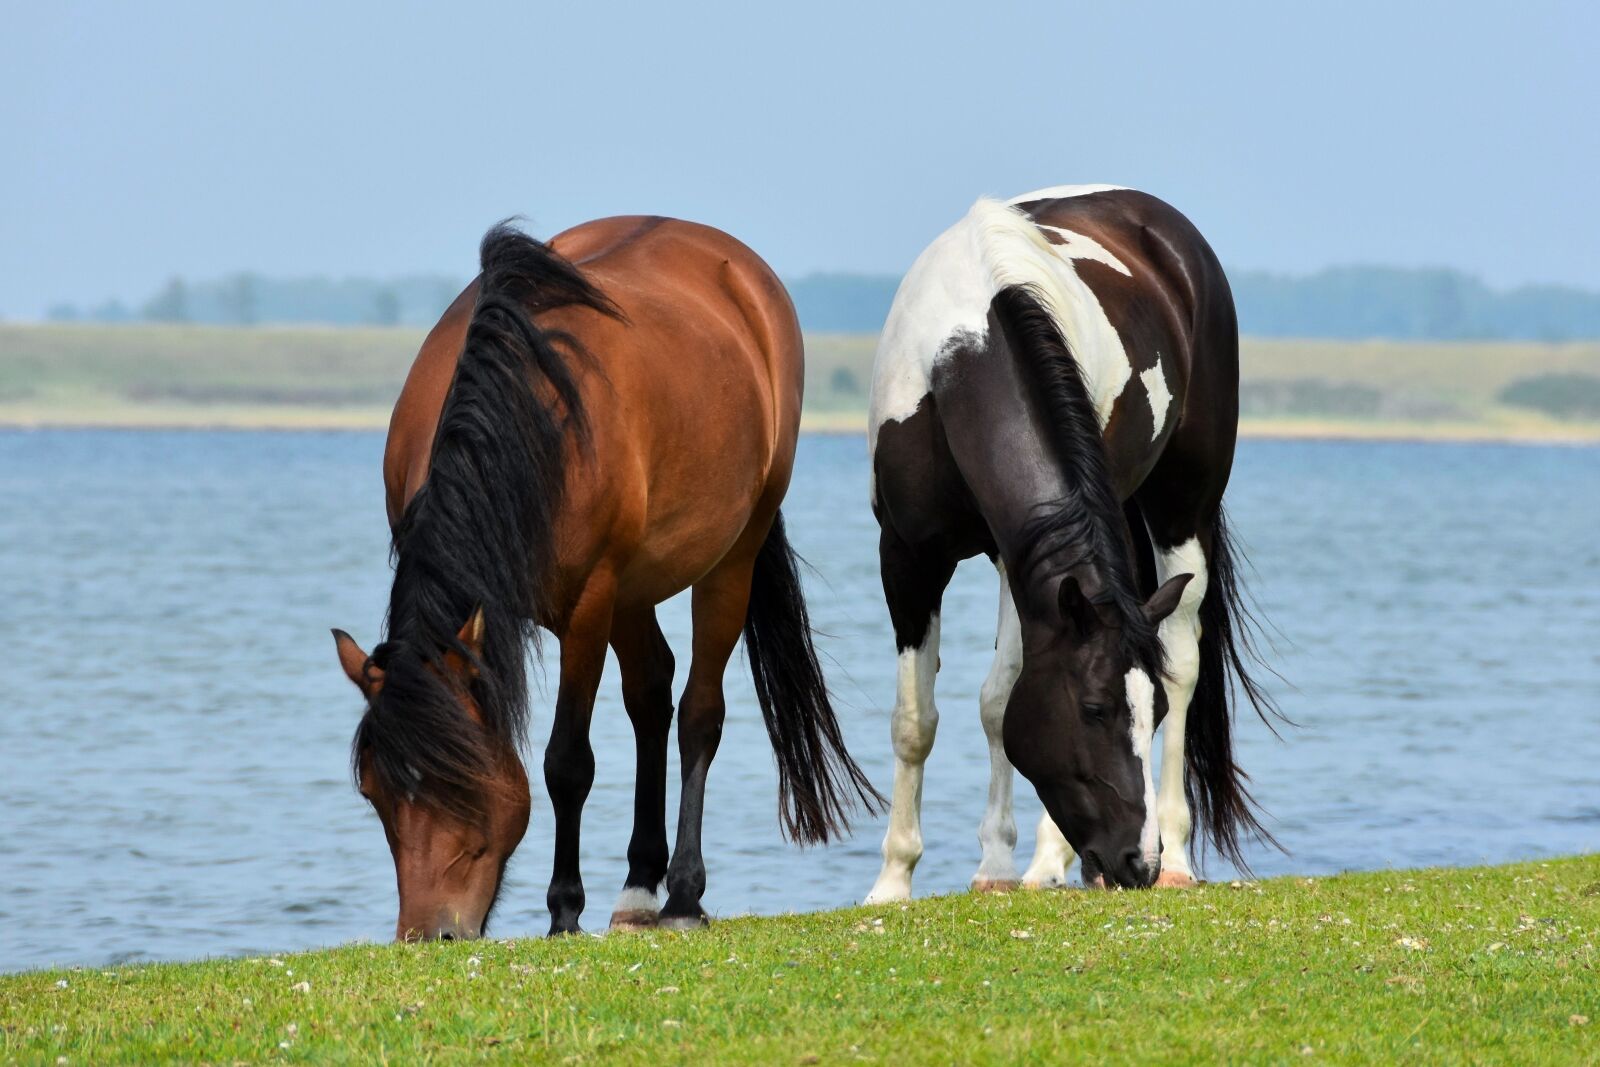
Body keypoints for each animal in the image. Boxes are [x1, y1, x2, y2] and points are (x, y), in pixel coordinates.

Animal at [331, 217, 880, 940]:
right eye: (374, 789)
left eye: (465, 778)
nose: (431, 935)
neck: (525, 421)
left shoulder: (587, 604)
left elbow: (568, 762)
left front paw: (564, 910)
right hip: (634, 588)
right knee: (651, 692)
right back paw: (639, 887)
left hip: (727, 559)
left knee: (698, 714)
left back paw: (681, 896)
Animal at [863, 185, 1276, 897]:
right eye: (1094, 709)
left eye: (1150, 712)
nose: (1138, 862)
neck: (962, 351)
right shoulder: (908, 556)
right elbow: (916, 718)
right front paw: (893, 879)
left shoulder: (1016, 560)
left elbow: (999, 700)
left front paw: (1004, 865)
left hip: (1183, 506)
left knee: (1184, 657)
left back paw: (1153, 855)